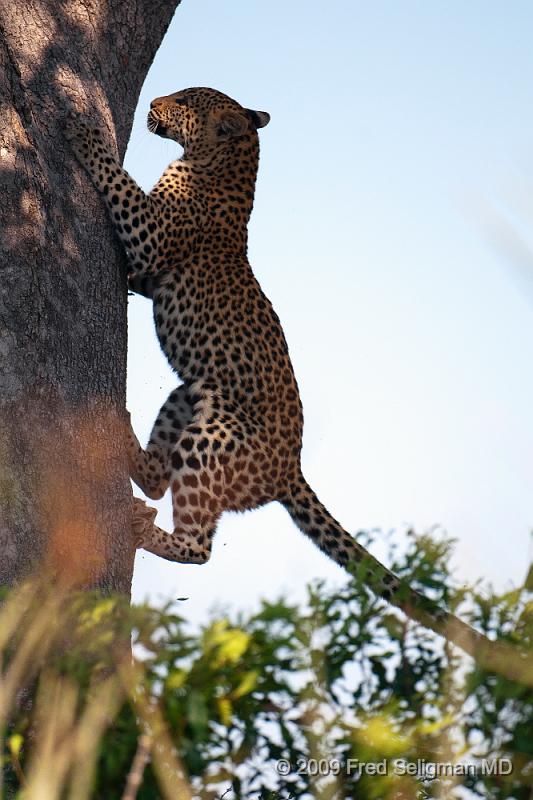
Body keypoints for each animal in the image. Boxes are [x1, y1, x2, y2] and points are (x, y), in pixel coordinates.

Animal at [64, 86, 492, 656]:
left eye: (185, 100)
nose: (155, 100)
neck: (221, 167)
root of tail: (291, 471)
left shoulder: (151, 236)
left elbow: (119, 183)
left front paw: (84, 135)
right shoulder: (148, 275)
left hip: (216, 432)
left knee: (199, 546)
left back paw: (144, 529)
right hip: (192, 390)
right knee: (158, 480)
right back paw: (129, 450)